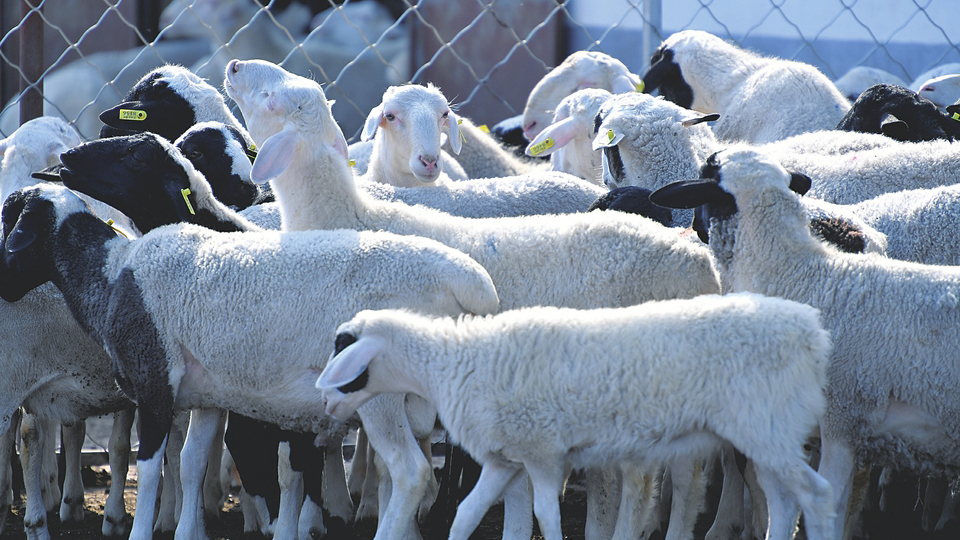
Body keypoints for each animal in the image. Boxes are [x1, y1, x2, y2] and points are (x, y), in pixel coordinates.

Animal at [0, 180, 506, 540]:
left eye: (10, 225)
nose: (4, 289)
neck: (111, 273)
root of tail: (474, 285)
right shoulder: (206, 396)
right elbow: (191, 463)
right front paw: (188, 533)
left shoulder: (154, 384)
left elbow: (149, 471)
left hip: (380, 392)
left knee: (410, 472)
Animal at [225, 56, 720, 540]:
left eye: (272, 99)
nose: (232, 66)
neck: (350, 217)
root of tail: (694, 258)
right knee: (684, 470)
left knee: (642, 477)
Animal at [316, 296, 840, 540]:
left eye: (342, 347)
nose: (325, 407)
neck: (453, 363)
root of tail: (812, 334)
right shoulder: (505, 459)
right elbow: (466, 512)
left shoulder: (544, 453)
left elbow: (546, 514)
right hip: (769, 435)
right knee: (785, 502)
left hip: (766, 428)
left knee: (818, 494)